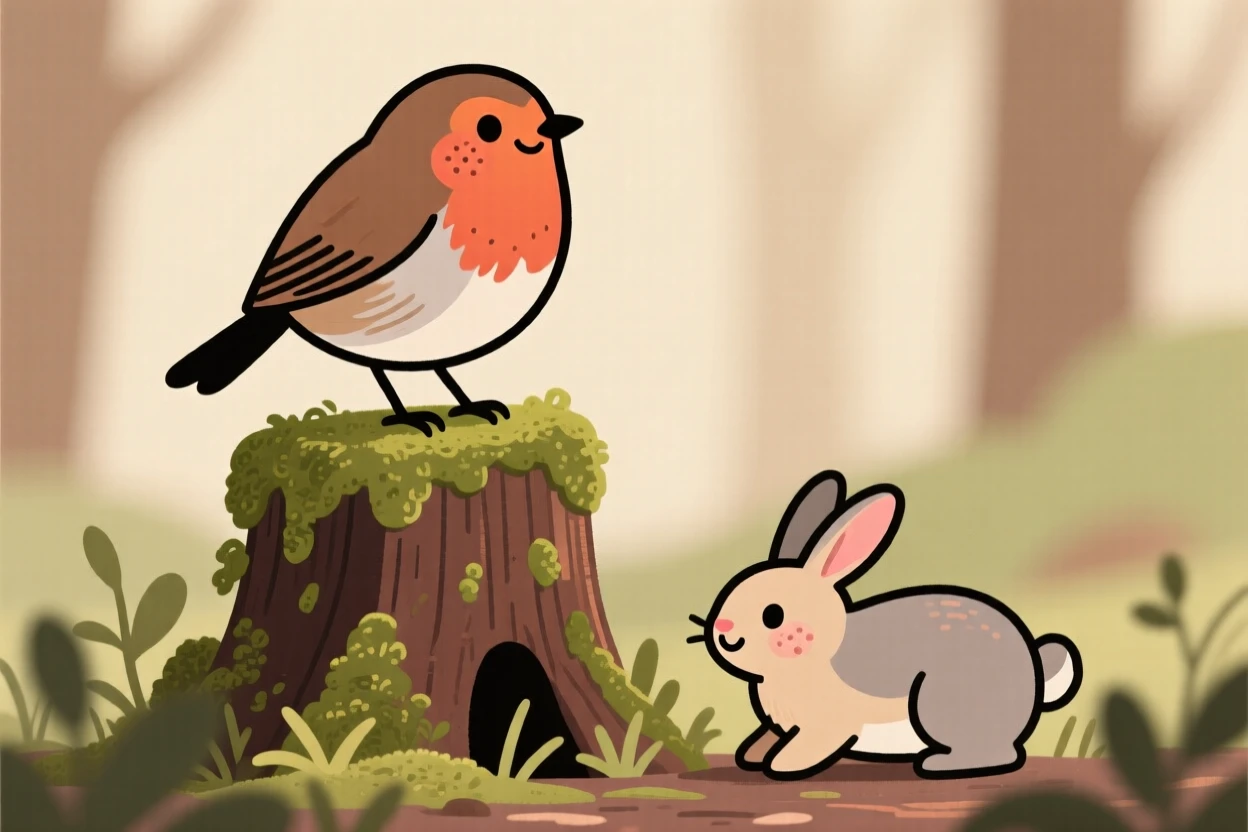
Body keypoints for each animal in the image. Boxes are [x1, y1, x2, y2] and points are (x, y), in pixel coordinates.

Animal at [690, 470, 1083, 781]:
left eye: (773, 615)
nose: (723, 630)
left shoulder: (829, 724)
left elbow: (814, 744)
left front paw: (784, 764)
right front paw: (755, 754)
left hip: (940, 703)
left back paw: (938, 764)